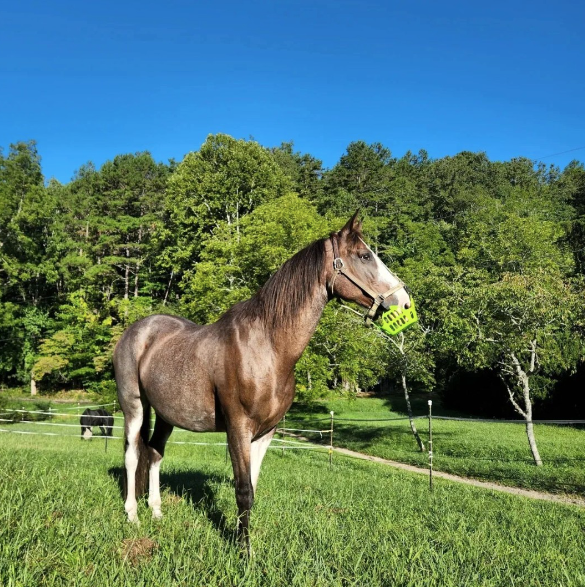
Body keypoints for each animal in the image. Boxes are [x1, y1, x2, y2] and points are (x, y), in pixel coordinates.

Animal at [113, 214, 410, 552]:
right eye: (364, 256)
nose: (404, 302)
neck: (267, 347)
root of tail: (137, 330)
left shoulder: (266, 433)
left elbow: (252, 490)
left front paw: (246, 543)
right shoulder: (238, 429)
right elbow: (243, 490)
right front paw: (243, 552)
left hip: (166, 415)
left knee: (154, 454)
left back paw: (157, 511)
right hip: (134, 408)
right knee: (132, 455)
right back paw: (133, 515)